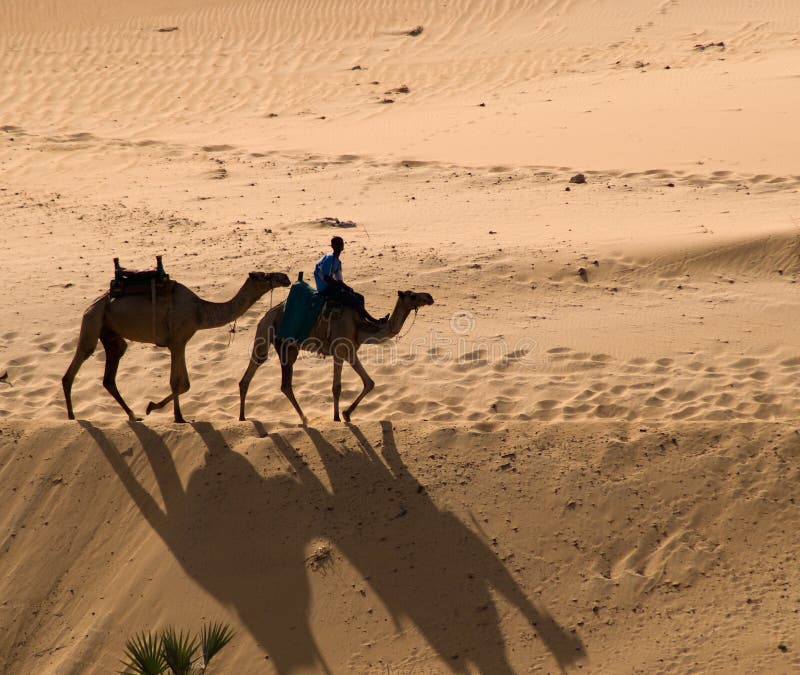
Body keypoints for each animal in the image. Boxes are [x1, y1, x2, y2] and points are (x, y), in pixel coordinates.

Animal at [63, 271, 290, 423]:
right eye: (265, 276)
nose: (285, 278)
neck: (200, 312)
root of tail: (90, 306)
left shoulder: (182, 341)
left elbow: (186, 384)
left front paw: (152, 407)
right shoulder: (176, 342)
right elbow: (176, 382)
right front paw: (177, 417)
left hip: (110, 332)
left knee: (110, 372)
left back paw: (132, 415)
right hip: (93, 321)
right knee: (79, 361)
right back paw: (72, 416)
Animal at [238, 290, 434, 424]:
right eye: (412, 295)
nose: (429, 297)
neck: (359, 326)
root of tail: (264, 316)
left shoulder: (351, 352)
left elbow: (369, 382)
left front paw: (346, 414)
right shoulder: (339, 351)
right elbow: (336, 387)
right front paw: (337, 418)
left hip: (273, 339)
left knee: (253, 374)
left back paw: (242, 417)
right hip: (281, 343)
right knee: (282, 382)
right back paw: (304, 418)